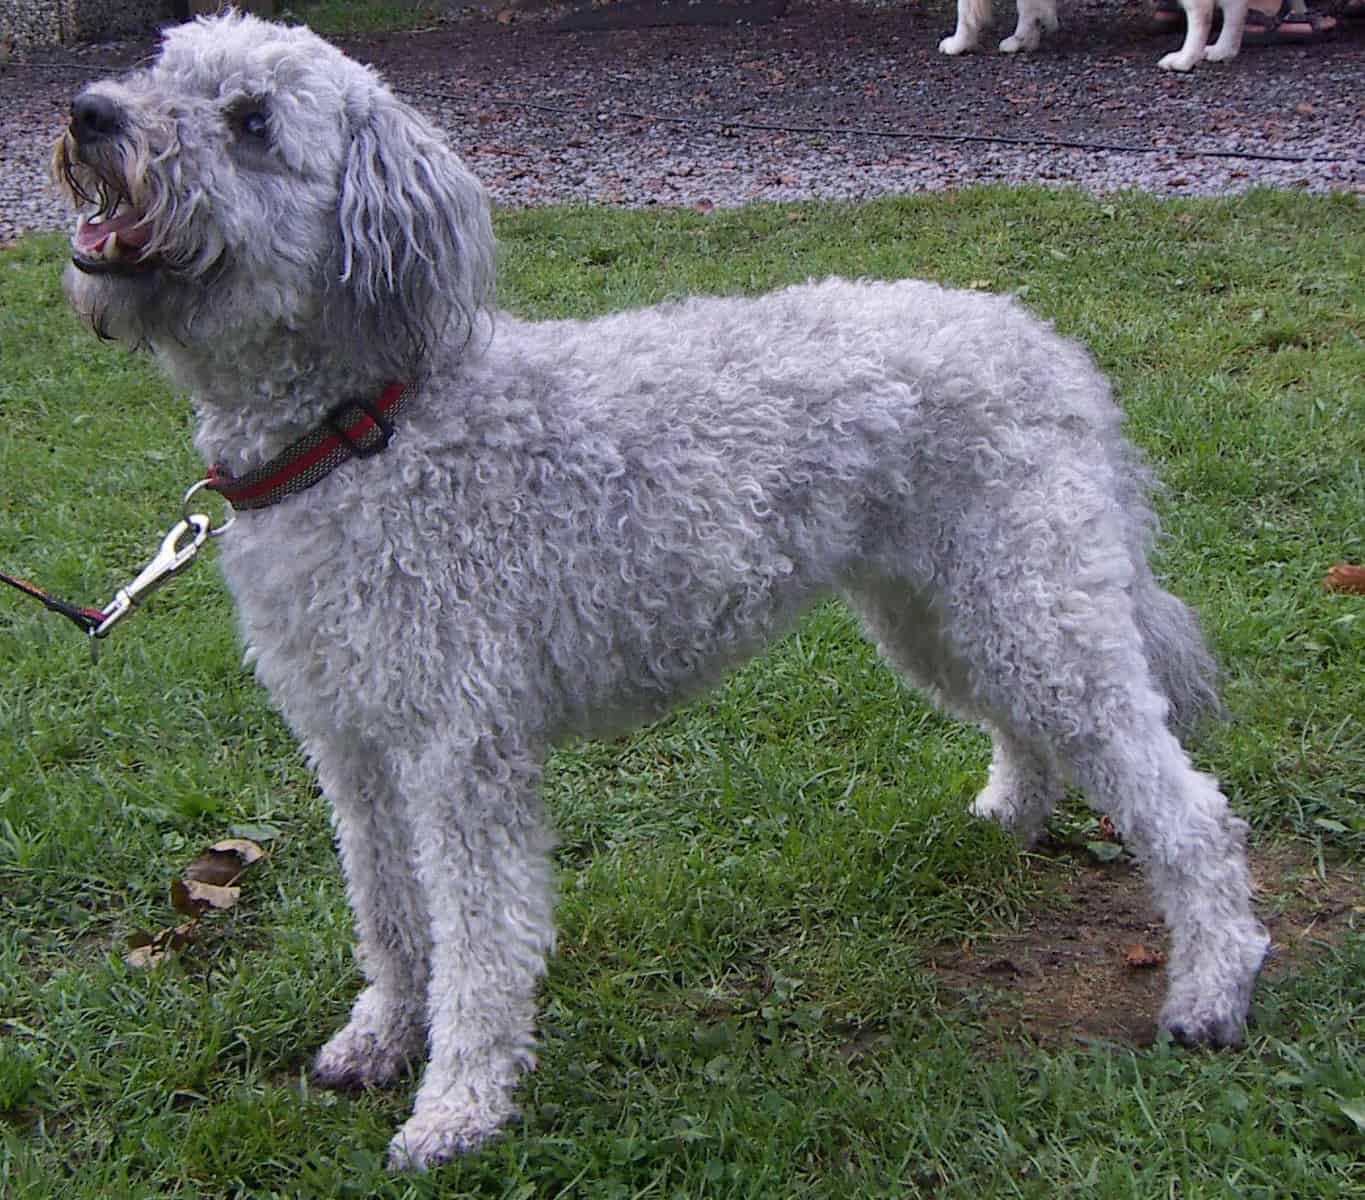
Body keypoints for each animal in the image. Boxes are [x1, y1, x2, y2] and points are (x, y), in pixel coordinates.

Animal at [53, 11, 1266, 1174]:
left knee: (1190, 813)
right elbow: (390, 916)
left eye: (251, 120)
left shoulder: (460, 750)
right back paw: (1007, 815)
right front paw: (383, 1035)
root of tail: (1050, 346)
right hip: (946, 612)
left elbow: (480, 945)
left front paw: (457, 1108)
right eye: (161, 66)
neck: (362, 430)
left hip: (1030, 604)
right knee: (1027, 727)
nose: (89, 111)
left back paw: (1213, 990)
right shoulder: (351, 747)